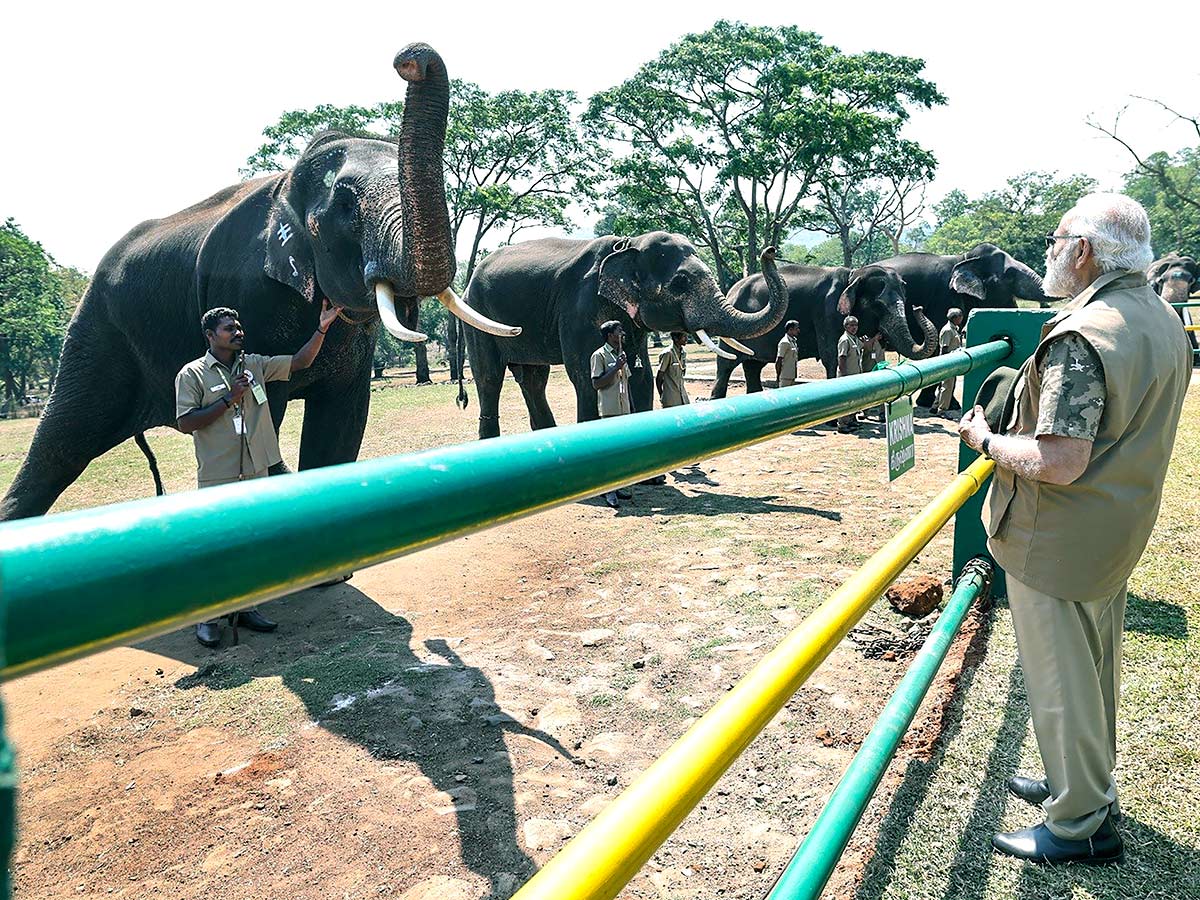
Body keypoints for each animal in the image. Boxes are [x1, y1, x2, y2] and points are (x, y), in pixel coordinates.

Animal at [0, 42, 513, 520]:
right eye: (346, 205)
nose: (410, 59)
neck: (289, 184)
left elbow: (342, 421)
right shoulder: (248, 294)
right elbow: (271, 411)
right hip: (97, 332)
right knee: (62, 441)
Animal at [458, 236, 787, 441]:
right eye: (680, 283)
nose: (770, 250)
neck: (629, 244)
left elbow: (642, 374)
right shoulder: (579, 310)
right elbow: (583, 375)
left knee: (534, 379)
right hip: (477, 315)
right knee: (489, 378)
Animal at [700, 264, 936, 398]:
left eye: (905, 298)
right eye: (879, 305)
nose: (918, 308)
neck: (853, 275)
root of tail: (731, 291)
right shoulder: (827, 312)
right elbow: (831, 355)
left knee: (753, 365)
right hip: (731, 330)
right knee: (727, 365)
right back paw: (716, 399)